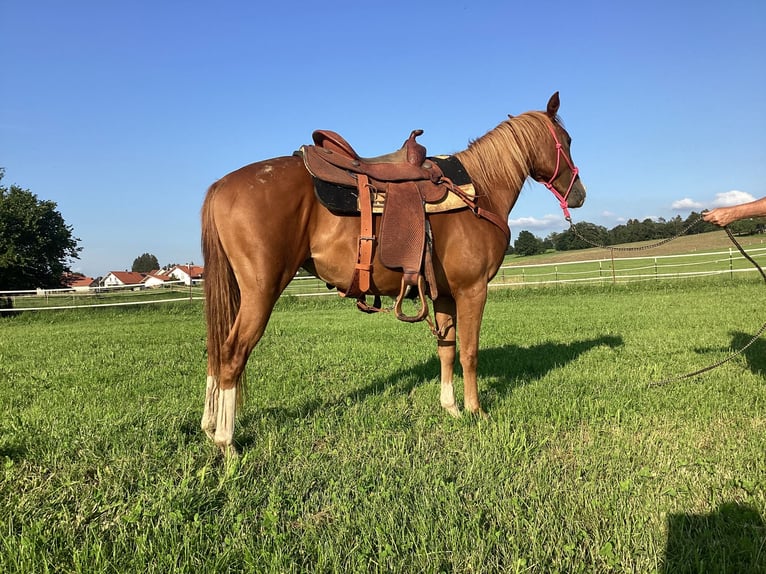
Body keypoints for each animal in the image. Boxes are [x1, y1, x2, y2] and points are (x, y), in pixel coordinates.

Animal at [201, 93, 584, 454]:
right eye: (566, 140)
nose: (579, 195)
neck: (480, 192)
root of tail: (221, 185)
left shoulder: (444, 295)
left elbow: (446, 349)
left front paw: (452, 409)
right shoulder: (472, 290)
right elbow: (469, 353)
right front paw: (477, 412)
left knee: (217, 351)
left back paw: (208, 426)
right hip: (261, 291)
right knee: (232, 354)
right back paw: (226, 442)